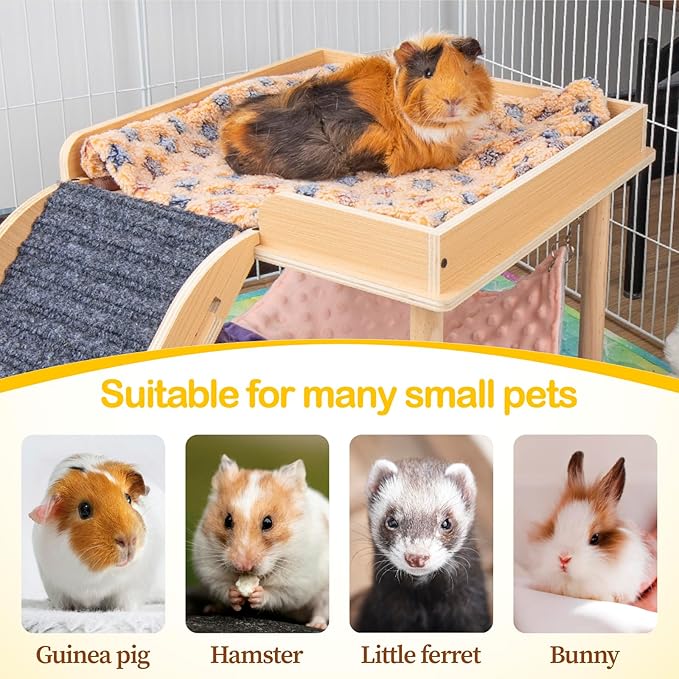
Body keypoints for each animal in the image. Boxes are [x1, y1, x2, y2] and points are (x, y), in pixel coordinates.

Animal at [29, 453, 164, 611]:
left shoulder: (131, 588)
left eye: (128, 498)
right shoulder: (55, 589)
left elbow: (124, 603)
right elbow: (63, 604)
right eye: (84, 509)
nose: (129, 540)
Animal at [192, 455, 329, 629]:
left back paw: (315, 625)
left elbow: (278, 594)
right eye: (227, 520)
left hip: (326, 592)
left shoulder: (296, 582)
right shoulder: (210, 568)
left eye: (268, 522)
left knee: (321, 609)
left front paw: (257, 594)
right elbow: (222, 586)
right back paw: (212, 608)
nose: (243, 566)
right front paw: (235, 593)